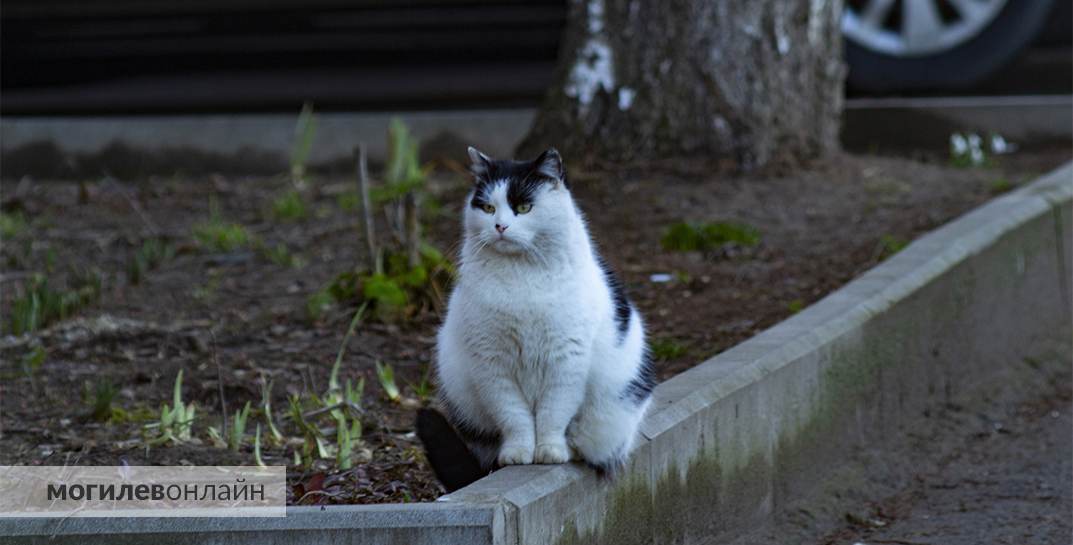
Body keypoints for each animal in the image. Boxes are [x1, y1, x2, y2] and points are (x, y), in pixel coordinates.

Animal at [416, 146, 652, 491]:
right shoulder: (492, 363)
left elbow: (554, 412)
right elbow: (513, 415)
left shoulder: (566, 358)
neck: (521, 275)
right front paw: (518, 453)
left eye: (524, 207)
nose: (500, 226)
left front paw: (551, 450)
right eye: (488, 207)